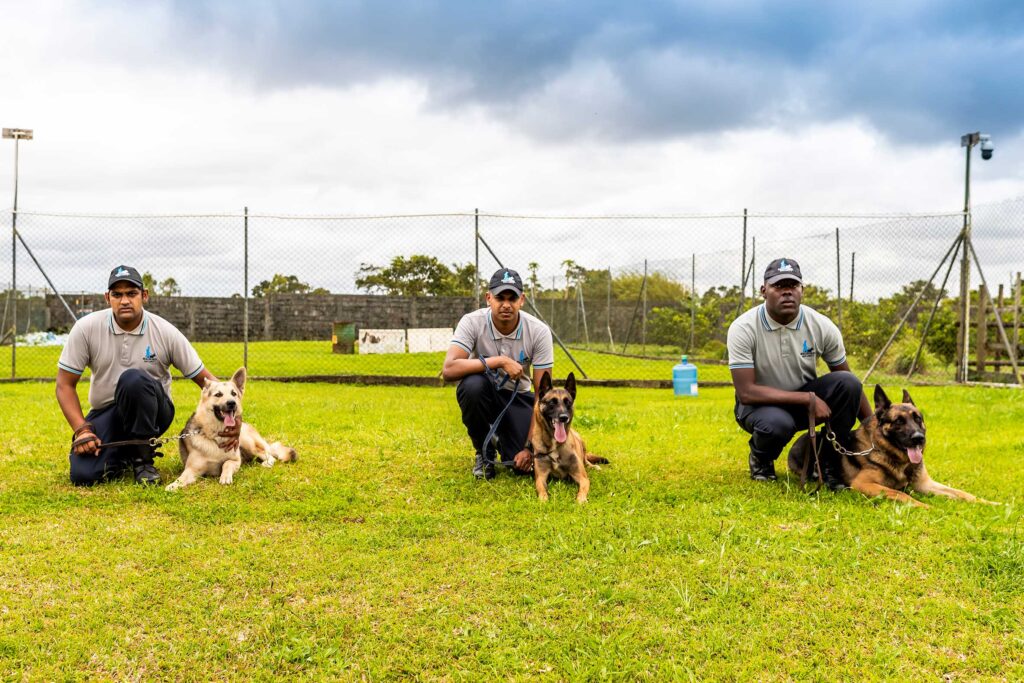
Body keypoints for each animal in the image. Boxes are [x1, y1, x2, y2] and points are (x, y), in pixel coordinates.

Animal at [163, 368, 299, 491]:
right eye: (218, 394)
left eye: (234, 393)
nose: (232, 403)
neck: (216, 436)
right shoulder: (192, 469)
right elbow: (182, 478)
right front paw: (173, 485)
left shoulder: (236, 461)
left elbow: (226, 463)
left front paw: (225, 477)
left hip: (248, 443)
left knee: (269, 455)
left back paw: (267, 463)